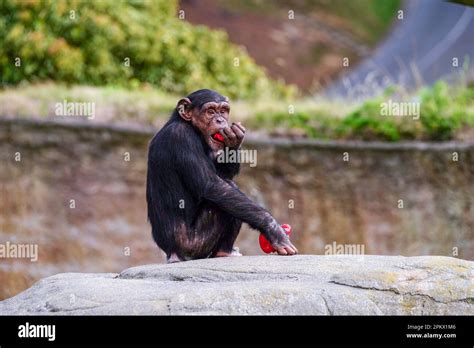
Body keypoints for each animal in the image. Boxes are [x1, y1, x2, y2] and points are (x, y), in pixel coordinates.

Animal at [146, 88, 298, 262]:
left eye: (223, 111)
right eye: (210, 111)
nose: (220, 120)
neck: (191, 127)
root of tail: (171, 253)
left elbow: (223, 174)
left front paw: (234, 140)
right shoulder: (182, 138)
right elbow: (211, 185)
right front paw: (274, 230)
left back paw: (225, 252)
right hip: (192, 245)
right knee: (222, 198)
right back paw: (224, 252)